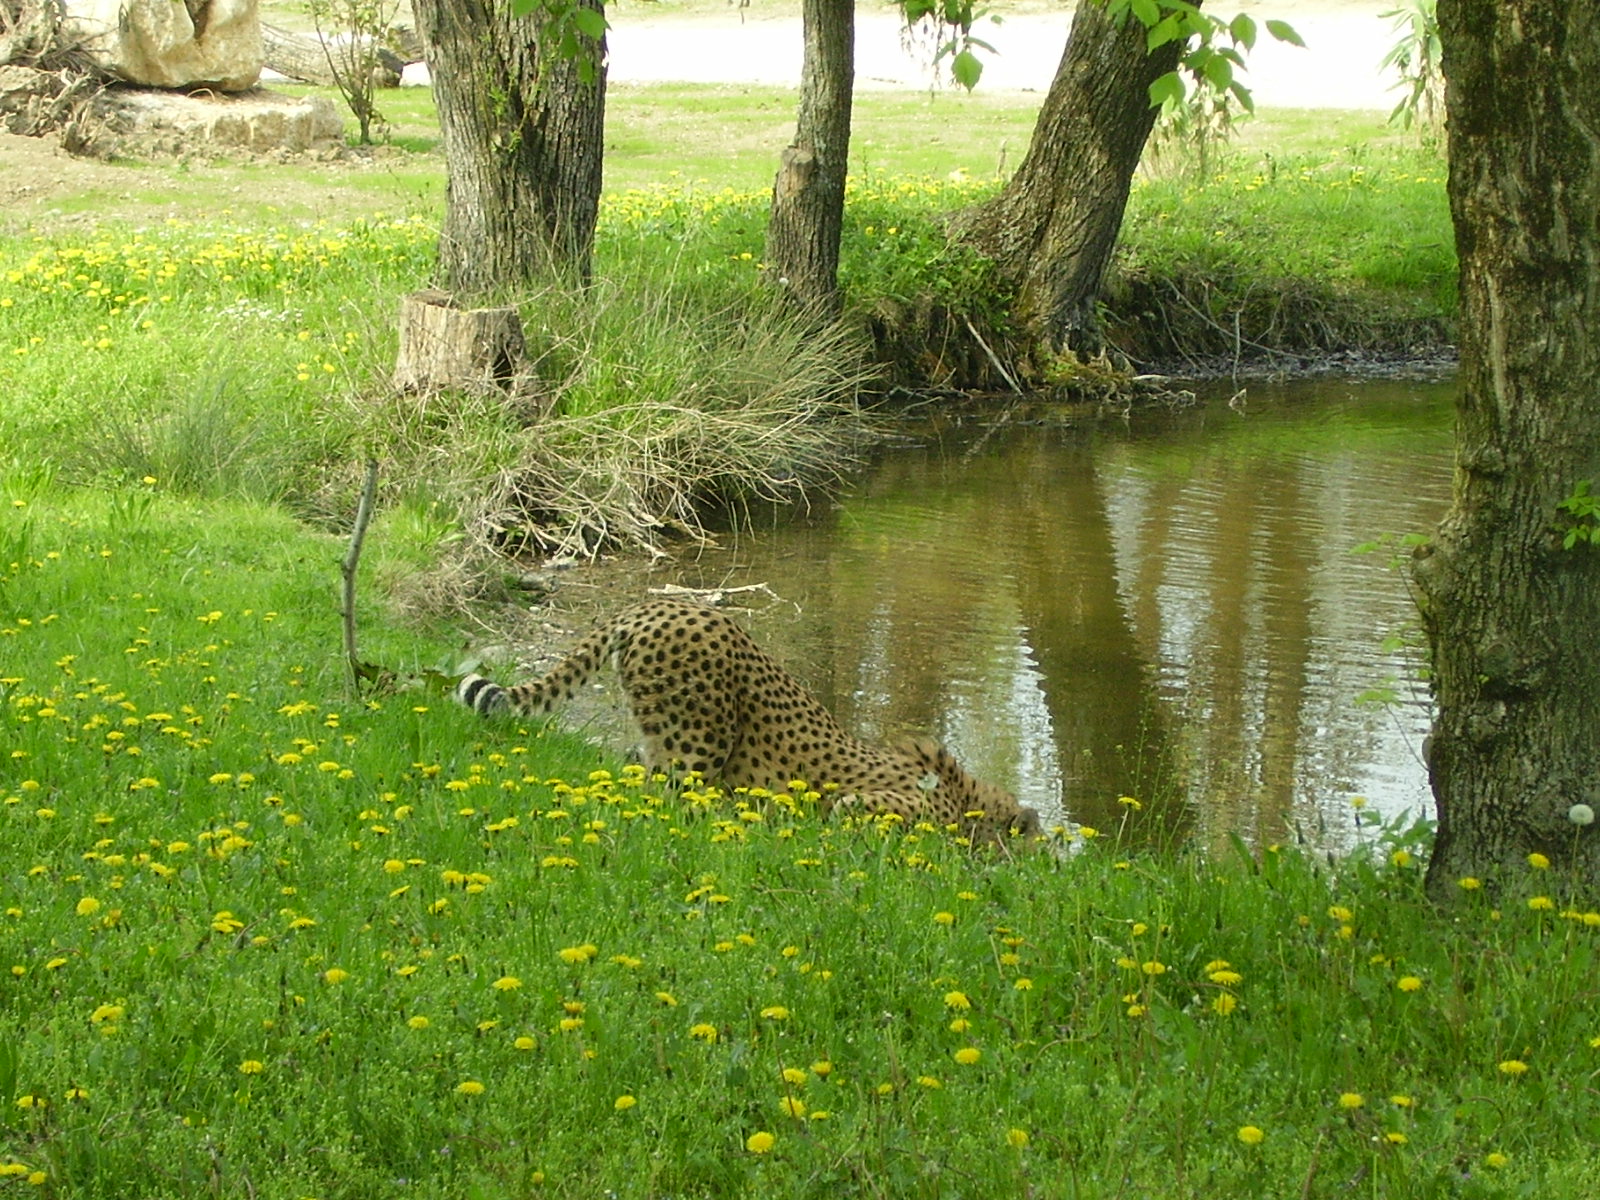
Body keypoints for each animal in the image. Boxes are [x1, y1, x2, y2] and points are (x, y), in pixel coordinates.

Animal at [456, 596, 1040, 841]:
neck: (967, 797)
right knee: (662, 797)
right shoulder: (877, 803)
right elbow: (847, 811)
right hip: (697, 744)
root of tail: (653, 606)